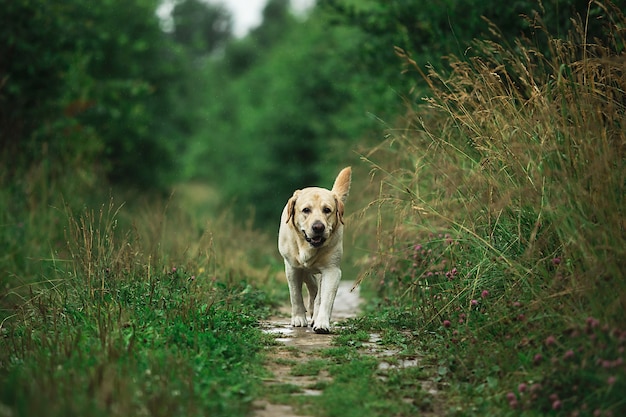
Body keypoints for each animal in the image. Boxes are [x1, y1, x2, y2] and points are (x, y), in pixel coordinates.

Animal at [278, 166, 352, 332]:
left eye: (327, 210)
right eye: (306, 210)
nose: (318, 227)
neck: (308, 247)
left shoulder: (332, 271)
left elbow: (326, 299)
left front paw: (322, 322)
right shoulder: (292, 268)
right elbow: (295, 295)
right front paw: (299, 318)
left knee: (318, 293)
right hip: (304, 270)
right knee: (312, 286)